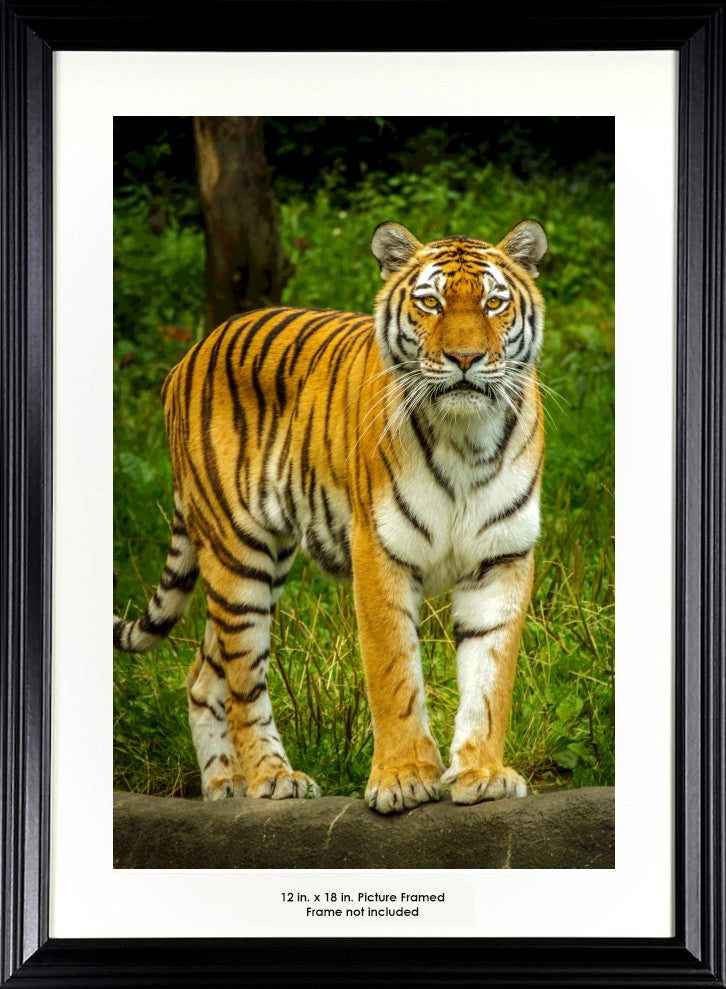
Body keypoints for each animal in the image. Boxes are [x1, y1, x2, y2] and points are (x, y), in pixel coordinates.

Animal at [113, 218, 547, 814]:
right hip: (238, 554)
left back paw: (223, 786)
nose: (465, 359)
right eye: (430, 303)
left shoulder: (501, 558)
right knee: (243, 680)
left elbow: (490, 677)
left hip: (256, 562)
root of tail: (191, 352)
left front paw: (482, 773)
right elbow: (394, 672)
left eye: (494, 303)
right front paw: (403, 778)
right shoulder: (380, 551)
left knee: (204, 676)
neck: (466, 438)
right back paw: (272, 779)